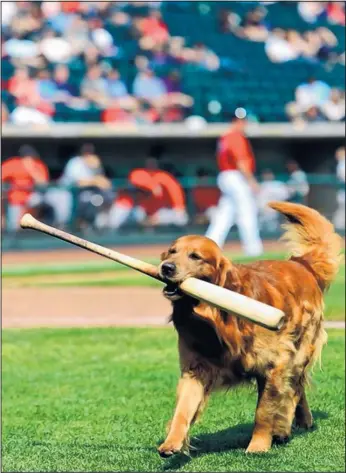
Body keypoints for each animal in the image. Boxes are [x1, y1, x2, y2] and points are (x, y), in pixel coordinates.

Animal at [158, 201, 342, 456]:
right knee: (297, 388)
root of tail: (300, 263)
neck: (213, 319)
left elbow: (264, 411)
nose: (166, 267)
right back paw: (300, 421)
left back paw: (285, 428)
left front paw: (258, 445)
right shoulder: (196, 368)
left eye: (195, 256)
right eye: (172, 251)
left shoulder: (274, 364)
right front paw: (172, 442)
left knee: (294, 388)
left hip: (300, 350)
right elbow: (183, 410)